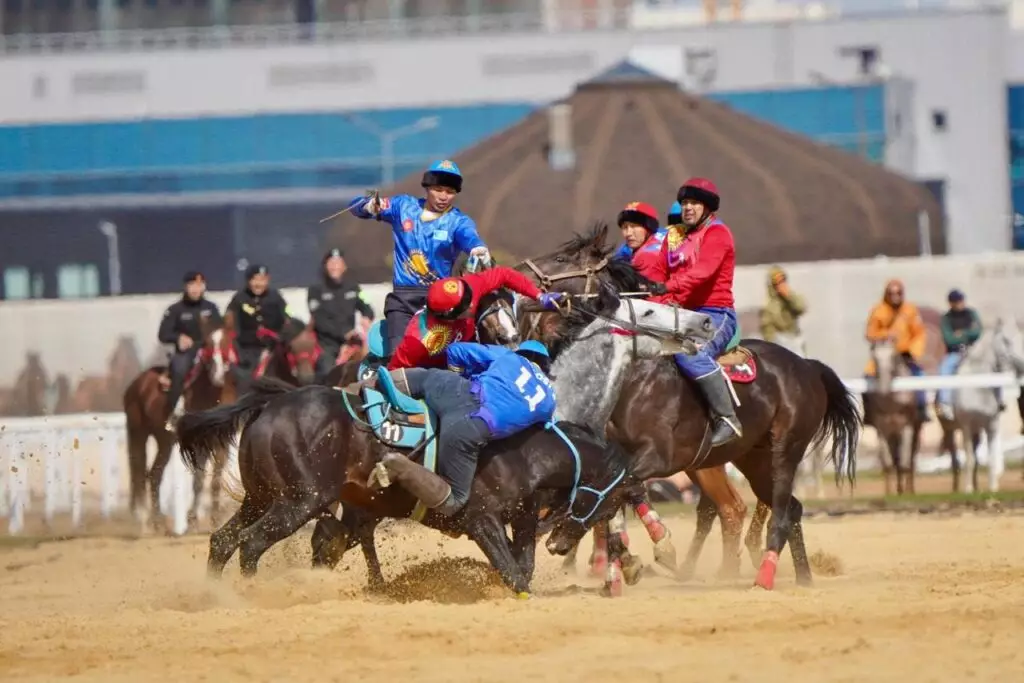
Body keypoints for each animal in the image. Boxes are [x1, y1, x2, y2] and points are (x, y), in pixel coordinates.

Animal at [122, 317, 234, 532]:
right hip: (138, 433)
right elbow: (199, 479)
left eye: (227, 341)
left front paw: (213, 518)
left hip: (164, 442)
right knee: (140, 472)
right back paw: (145, 519)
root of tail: (136, 384)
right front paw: (193, 520)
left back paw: (156, 521)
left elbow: (213, 479)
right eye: (207, 344)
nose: (217, 373)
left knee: (153, 475)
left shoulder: (218, 443)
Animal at [520, 227, 864, 589]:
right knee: (785, 509)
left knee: (776, 512)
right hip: (753, 459)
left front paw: (573, 538)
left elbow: (614, 490)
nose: (522, 274)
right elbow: (612, 496)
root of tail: (807, 366)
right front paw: (613, 562)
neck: (636, 383)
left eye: (562, 258)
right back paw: (801, 577)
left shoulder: (656, 458)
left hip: (785, 451)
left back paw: (763, 575)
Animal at [937, 317, 1024, 493]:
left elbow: (989, 458)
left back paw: (976, 486)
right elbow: (969, 458)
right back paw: (956, 487)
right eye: (1006, 340)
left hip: (977, 431)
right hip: (949, 429)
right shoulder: (966, 426)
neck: (979, 387)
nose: (1022, 366)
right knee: (955, 458)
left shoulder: (991, 425)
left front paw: (992, 487)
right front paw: (968, 489)